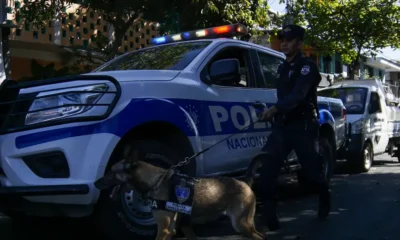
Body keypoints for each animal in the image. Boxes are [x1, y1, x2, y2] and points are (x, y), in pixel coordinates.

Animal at [94, 146, 266, 240]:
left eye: (111, 172)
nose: (95, 183)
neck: (155, 181)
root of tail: (244, 182)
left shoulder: (164, 230)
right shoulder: (179, 228)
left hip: (241, 224)